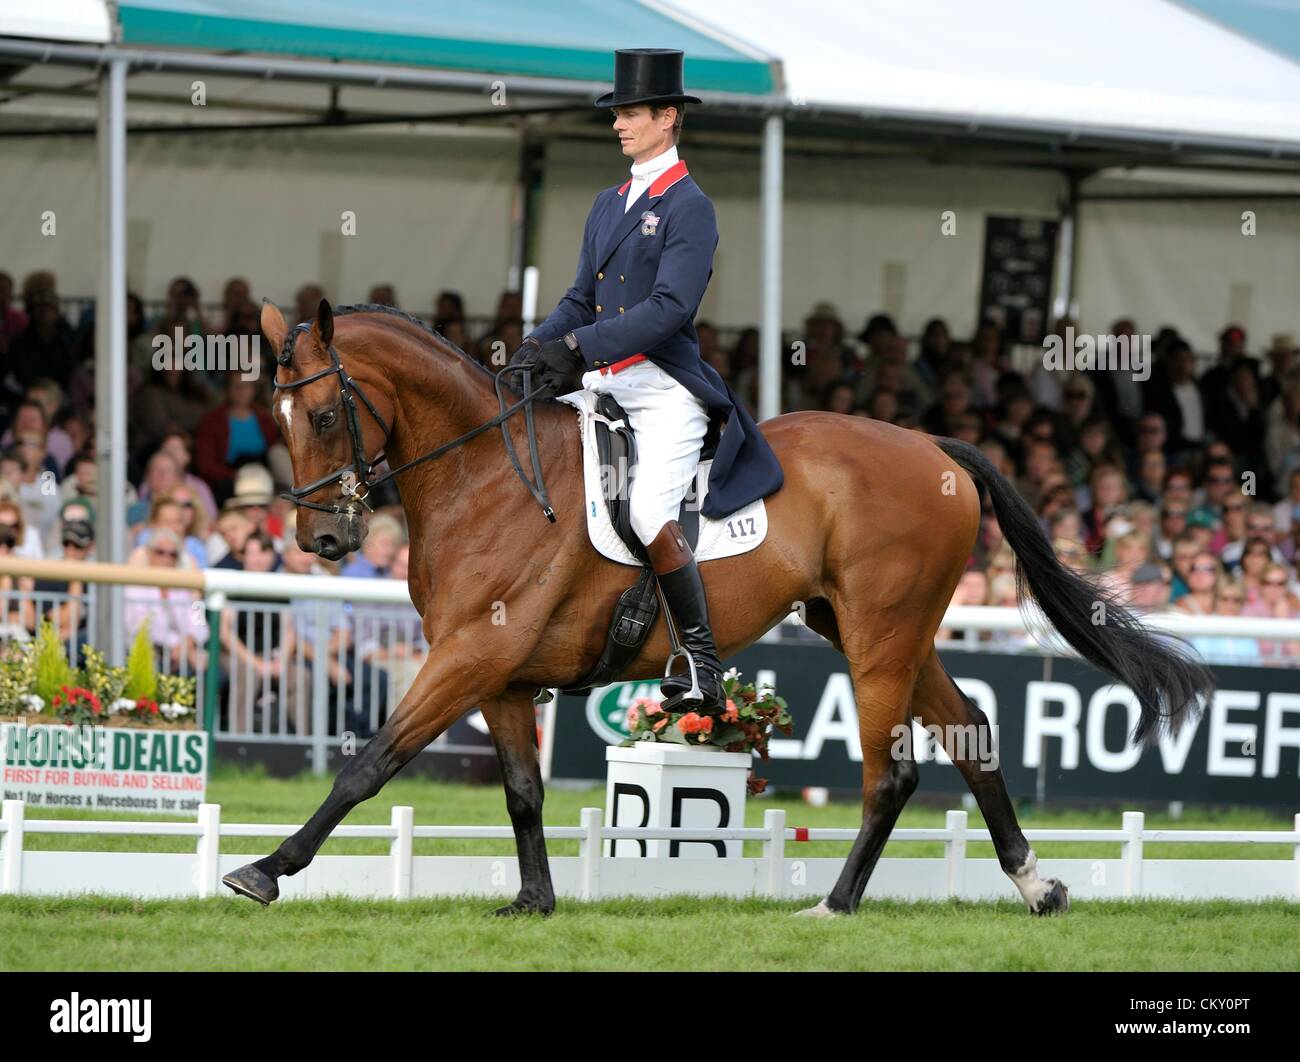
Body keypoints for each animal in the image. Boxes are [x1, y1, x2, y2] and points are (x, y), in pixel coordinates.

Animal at [220, 298, 1206, 909]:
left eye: (321, 417)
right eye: (276, 420)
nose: (323, 544)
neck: (484, 475)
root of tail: (933, 446)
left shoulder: (471, 656)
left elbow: (369, 764)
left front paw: (266, 870)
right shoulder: (499, 673)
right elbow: (523, 792)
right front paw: (534, 900)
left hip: (880, 636)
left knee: (892, 772)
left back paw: (835, 905)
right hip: (882, 628)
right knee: (970, 733)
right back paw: (1036, 885)